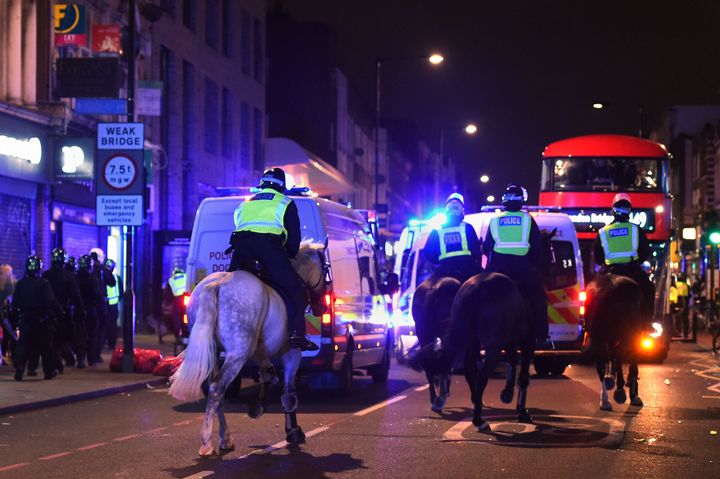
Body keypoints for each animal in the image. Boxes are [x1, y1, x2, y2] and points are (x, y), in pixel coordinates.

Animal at [170, 240, 328, 458]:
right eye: (326, 268)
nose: (322, 306)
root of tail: (215, 285)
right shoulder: (291, 354)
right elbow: (288, 393)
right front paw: (293, 431)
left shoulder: (260, 352)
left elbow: (267, 374)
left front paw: (258, 405)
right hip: (238, 353)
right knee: (217, 388)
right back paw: (206, 442)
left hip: (214, 352)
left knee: (213, 390)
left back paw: (225, 439)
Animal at [584, 272, 648, 410]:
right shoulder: (636, 336)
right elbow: (630, 361)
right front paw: (632, 392)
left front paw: (611, 378)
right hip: (629, 334)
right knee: (619, 354)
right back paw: (620, 391)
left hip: (599, 335)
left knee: (601, 362)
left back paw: (605, 400)